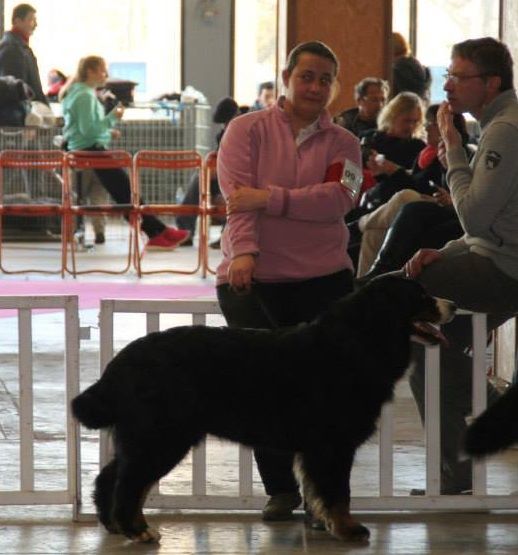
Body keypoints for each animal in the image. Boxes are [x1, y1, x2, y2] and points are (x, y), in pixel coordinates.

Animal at [72, 276, 456, 544]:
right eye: (420, 296)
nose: (452, 304)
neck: (360, 341)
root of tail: (122, 360)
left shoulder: (321, 447)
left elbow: (324, 492)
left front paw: (328, 523)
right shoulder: (332, 444)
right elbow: (338, 493)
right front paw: (348, 529)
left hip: (151, 434)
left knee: (112, 476)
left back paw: (114, 525)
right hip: (162, 434)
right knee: (130, 482)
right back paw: (138, 530)